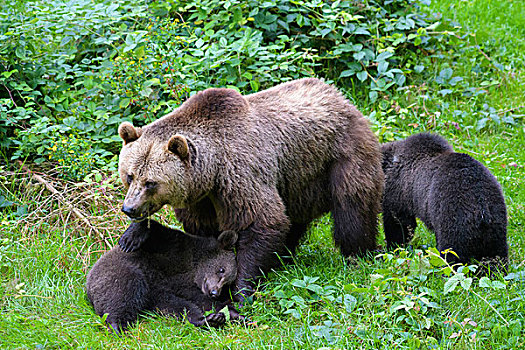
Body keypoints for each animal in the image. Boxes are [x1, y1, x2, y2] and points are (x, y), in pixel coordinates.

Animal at [117, 78, 380, 296]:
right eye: (130, 176)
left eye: (151, 182)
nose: (129, 208)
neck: (211, 172)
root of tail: (339, 95)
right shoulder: (200, 198)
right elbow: (201, 232)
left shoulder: (240, 176)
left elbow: (262, 222)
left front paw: (241, 290)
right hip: (296, 179)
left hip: (341, 154)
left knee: (352, 209)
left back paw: (358, 255)